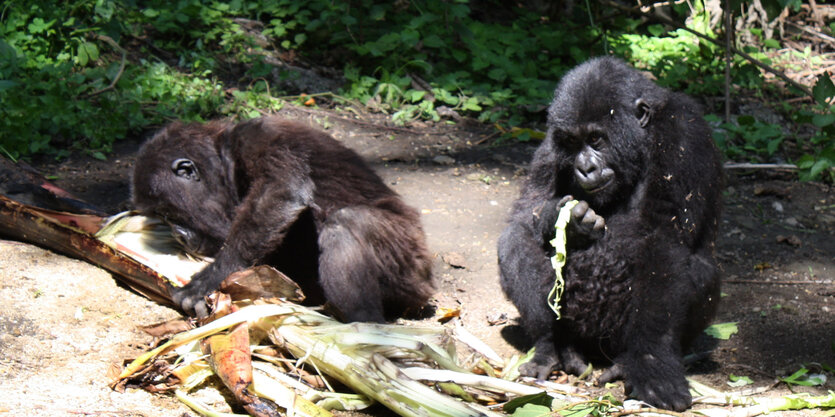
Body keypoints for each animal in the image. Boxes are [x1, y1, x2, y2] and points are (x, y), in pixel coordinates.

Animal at [133, 115, 434, 320]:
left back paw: (367, 330)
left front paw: (211, 278)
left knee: (347, 223)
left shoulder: (258, 139)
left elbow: (281, 191)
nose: (178, 235)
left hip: (411, 266)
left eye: (166, 213)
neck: (224, 161)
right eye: (160, 217)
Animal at [496, 57, 724, 412]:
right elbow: (525, 212)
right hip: (578, 331)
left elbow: (663, 244)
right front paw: (564, 220)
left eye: (596, 139)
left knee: (700, 270)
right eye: (572, 143)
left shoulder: (685, 133)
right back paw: (552, 346)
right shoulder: (550, 142)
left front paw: (653, 365)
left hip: (615, 340)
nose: (585, 168)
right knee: (514, 240)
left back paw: (623, 364)